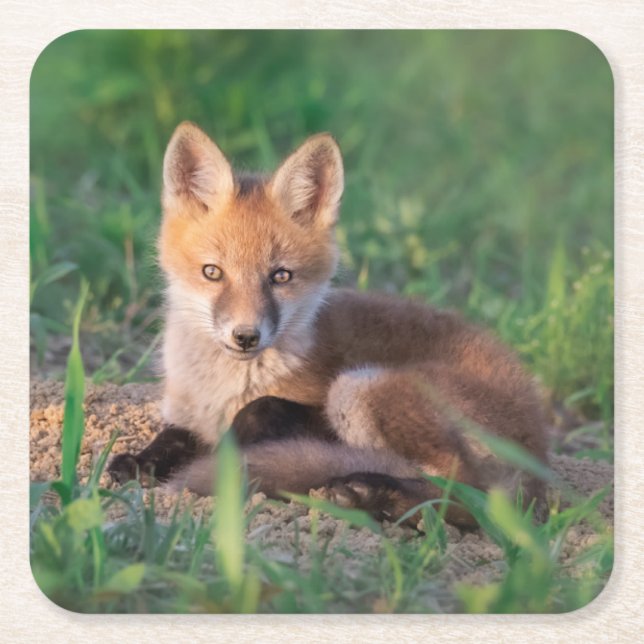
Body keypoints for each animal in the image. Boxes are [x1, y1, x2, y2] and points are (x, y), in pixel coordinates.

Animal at [108, 121, 548, 527]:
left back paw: (374, 493)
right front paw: (141, 462)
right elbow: (171, 438)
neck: (221, 388)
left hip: (359, 386)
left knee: (472, 497)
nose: (246, 336)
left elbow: (259, 409)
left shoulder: (311, 408)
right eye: (212, 272)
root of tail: (540, 450)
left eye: (281, 276)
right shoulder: (184, 414)